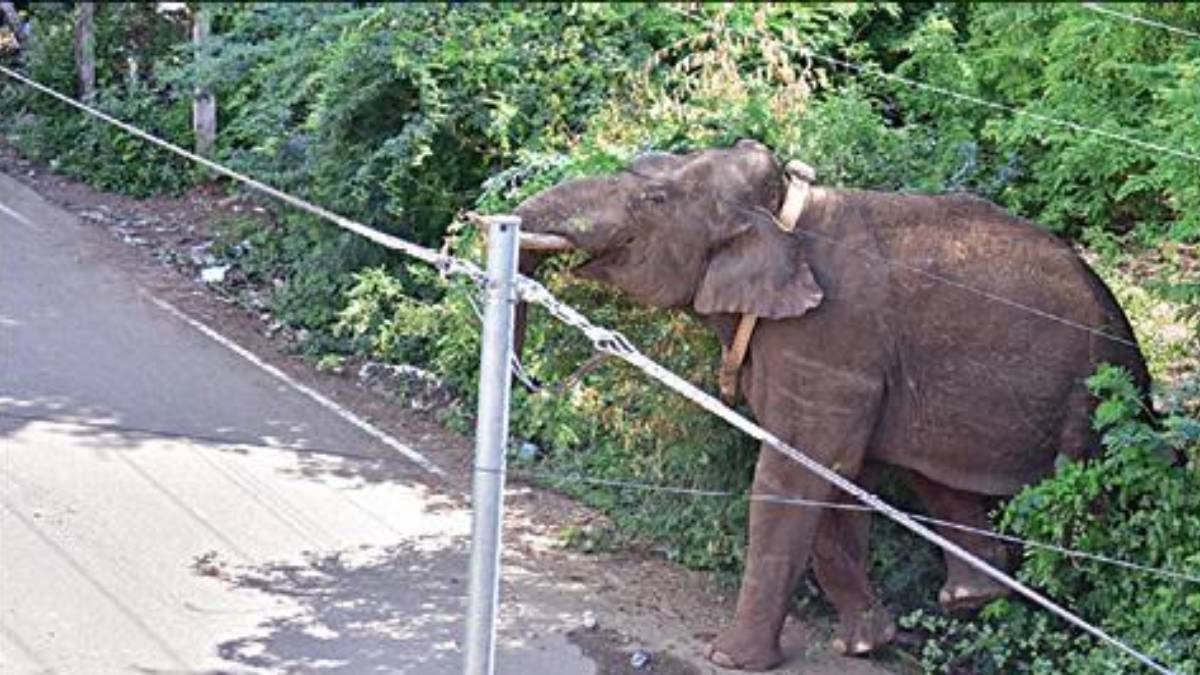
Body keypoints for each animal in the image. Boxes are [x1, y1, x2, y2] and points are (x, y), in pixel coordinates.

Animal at [509, 140, 1151, 670]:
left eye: (655, 199)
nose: (528, 379)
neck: (785, 212)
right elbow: (840, 477)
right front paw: (864, 645)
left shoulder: (829, 340)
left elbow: (796, 470)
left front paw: (728, 659)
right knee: (936, 478)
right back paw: (970, 598)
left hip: (1092, 399)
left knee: (1083, 514)